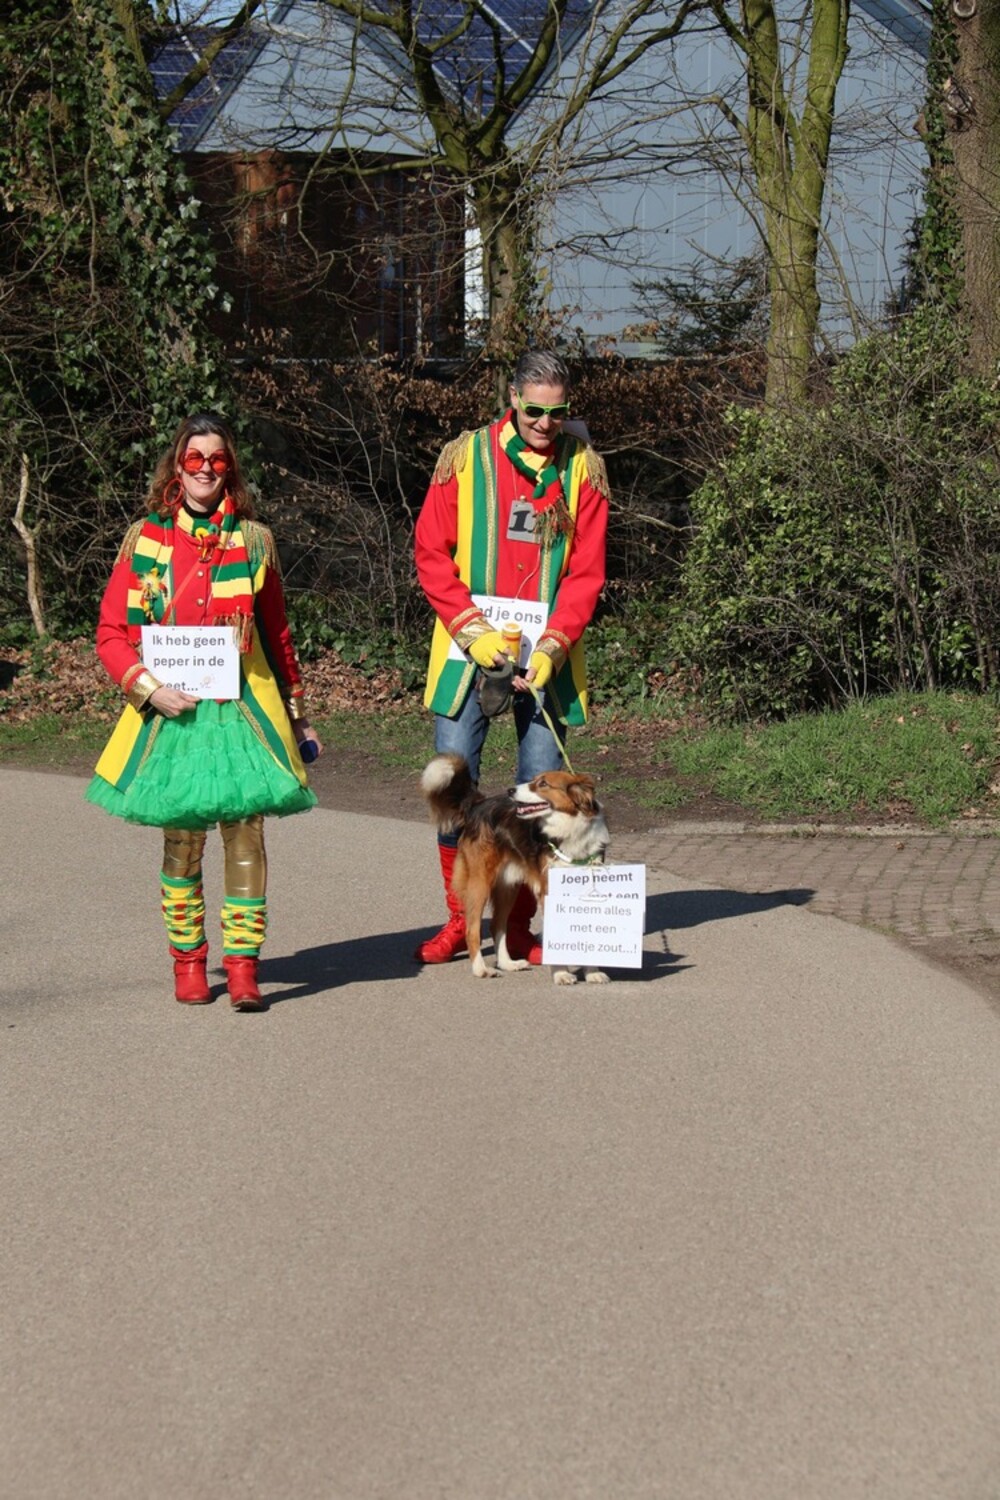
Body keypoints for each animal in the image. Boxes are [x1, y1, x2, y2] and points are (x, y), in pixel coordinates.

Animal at [420, 752, 611, 983]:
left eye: (543, 784)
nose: (510, 790)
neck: (570, 830)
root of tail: (478, 804)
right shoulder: (548, 892)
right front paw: (561, 973)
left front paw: (592, 972)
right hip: (479, 883)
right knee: (472, 930)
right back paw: (481, 969)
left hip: (507, 886)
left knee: (497, 926)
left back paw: (507, 964)